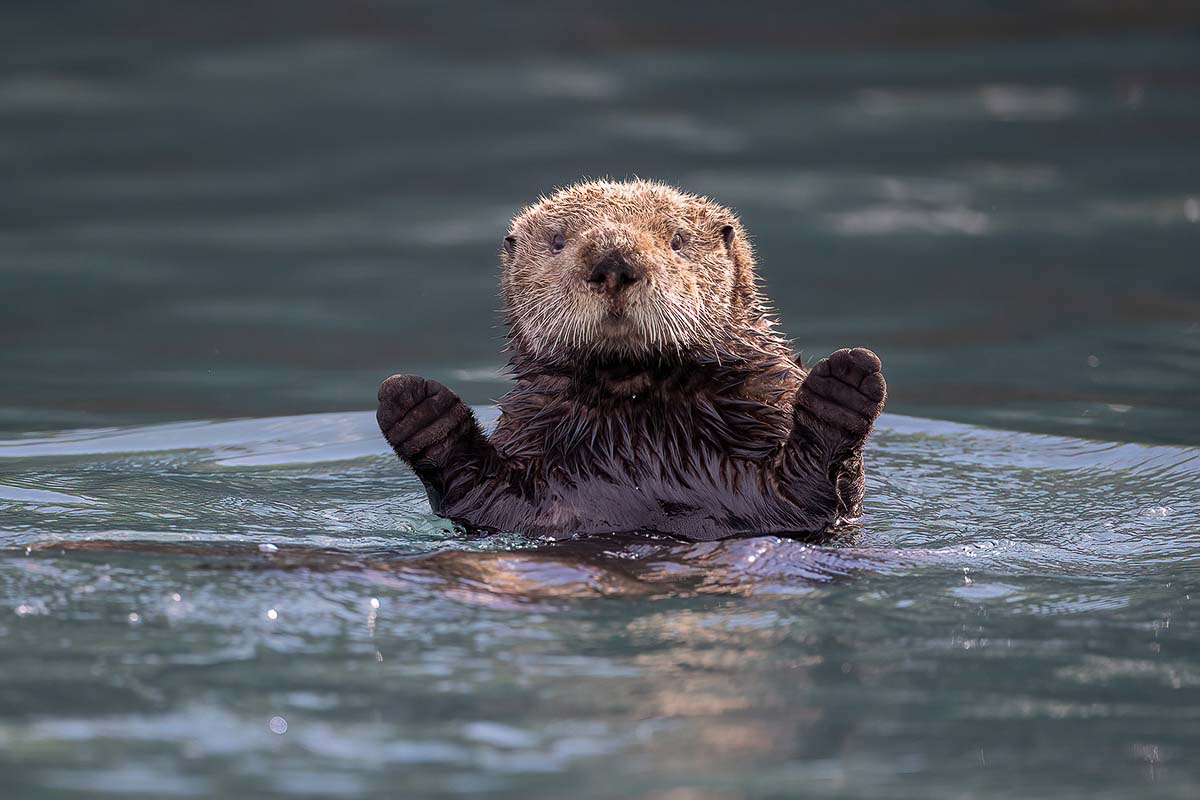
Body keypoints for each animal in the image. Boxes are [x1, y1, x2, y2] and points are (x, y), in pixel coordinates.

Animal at [379, 181, 888, 542]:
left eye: (678, 239)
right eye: (558, 242)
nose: (614, 262)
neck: (636, 402)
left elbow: (822, 488)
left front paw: (845, 381)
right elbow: (473, 489)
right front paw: (415, 406)